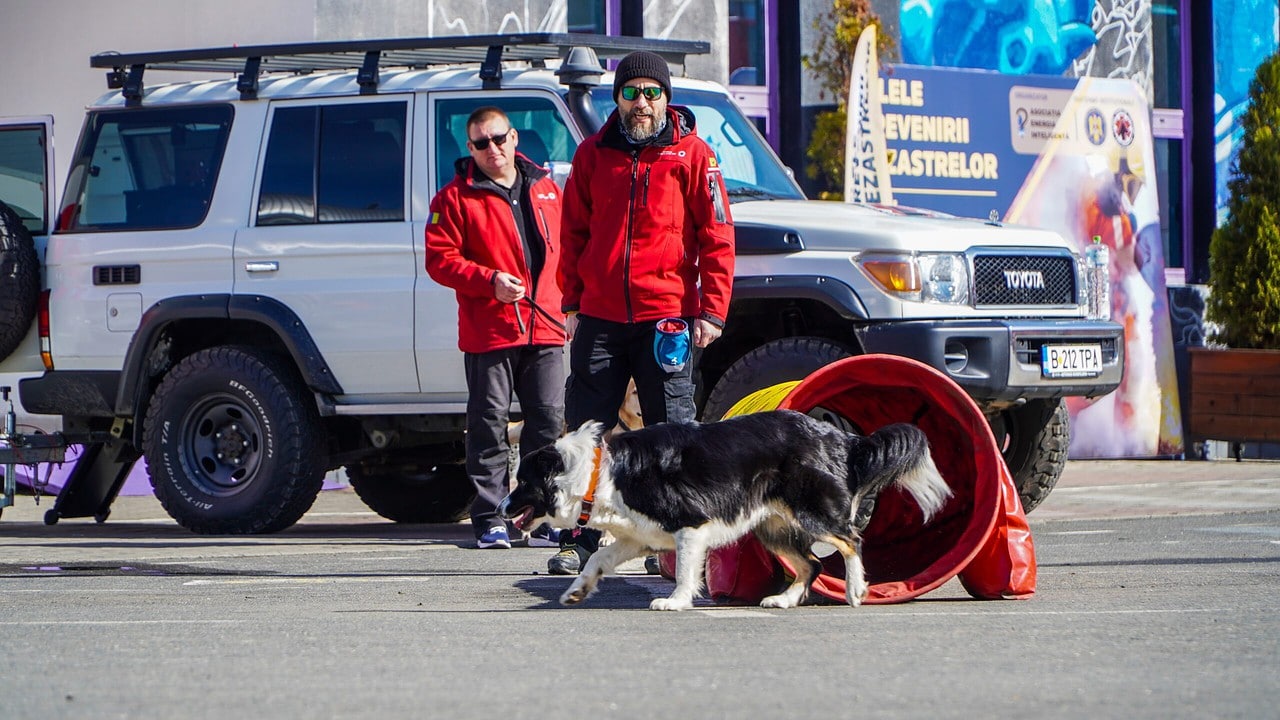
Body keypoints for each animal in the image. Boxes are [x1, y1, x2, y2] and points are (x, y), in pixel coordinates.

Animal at [499, 407, 952, 607]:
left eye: (522, 483)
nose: (501, 509)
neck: (597, 472)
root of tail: (843, 438)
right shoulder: (638, 536)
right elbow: (597, 560)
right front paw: (578, 590)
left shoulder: (690, 525)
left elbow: (685, 570)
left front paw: (676, 601)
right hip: (772, 528)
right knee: (811, 564)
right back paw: (784, 600)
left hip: (813, 511)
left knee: (851, 541)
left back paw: (856, 589)